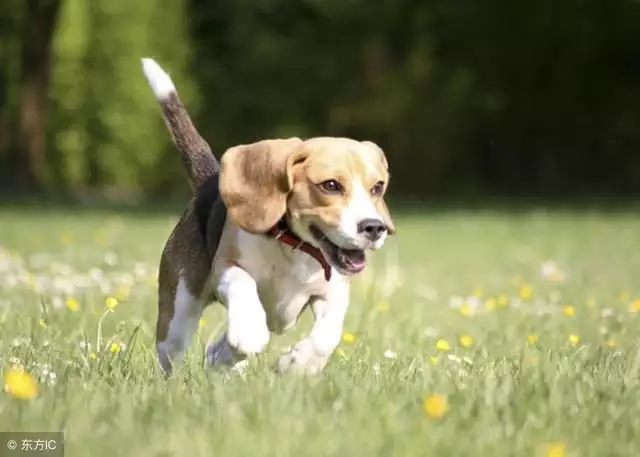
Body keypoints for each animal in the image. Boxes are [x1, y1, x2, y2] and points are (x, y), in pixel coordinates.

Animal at [141, 57, 396, 374]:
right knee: (174, 352)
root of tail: (209, 182)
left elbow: (328, 334)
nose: (374, 228)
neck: (295, 247)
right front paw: (249, 331)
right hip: (178, 311)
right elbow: (243, 285)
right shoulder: (226, 266)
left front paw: (297, 364)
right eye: (331, 185)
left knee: (218, 350)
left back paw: (224, 361)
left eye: (378, 187)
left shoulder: (334, 291)